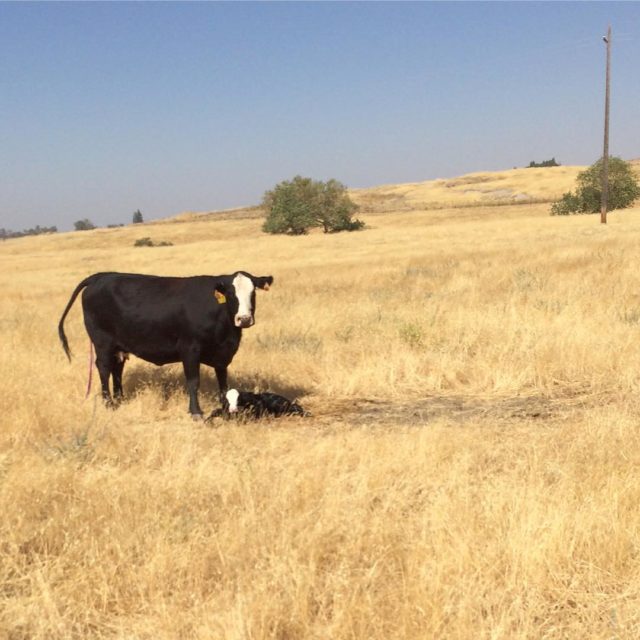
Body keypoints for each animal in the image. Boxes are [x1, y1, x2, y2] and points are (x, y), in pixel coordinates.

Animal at [58, 271, 273, 418]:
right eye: (230, 294)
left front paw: (225, 406)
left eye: (253, 293)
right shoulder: (189, 349)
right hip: (103, 342)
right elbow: (193, 381)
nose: (244, 319)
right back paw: (109, 402)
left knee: (116, 369)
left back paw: (120, 398)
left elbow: (223, 384)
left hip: (119, 345)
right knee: (103, 368)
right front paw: (196, 412)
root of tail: (101, 277)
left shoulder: (222, 354)